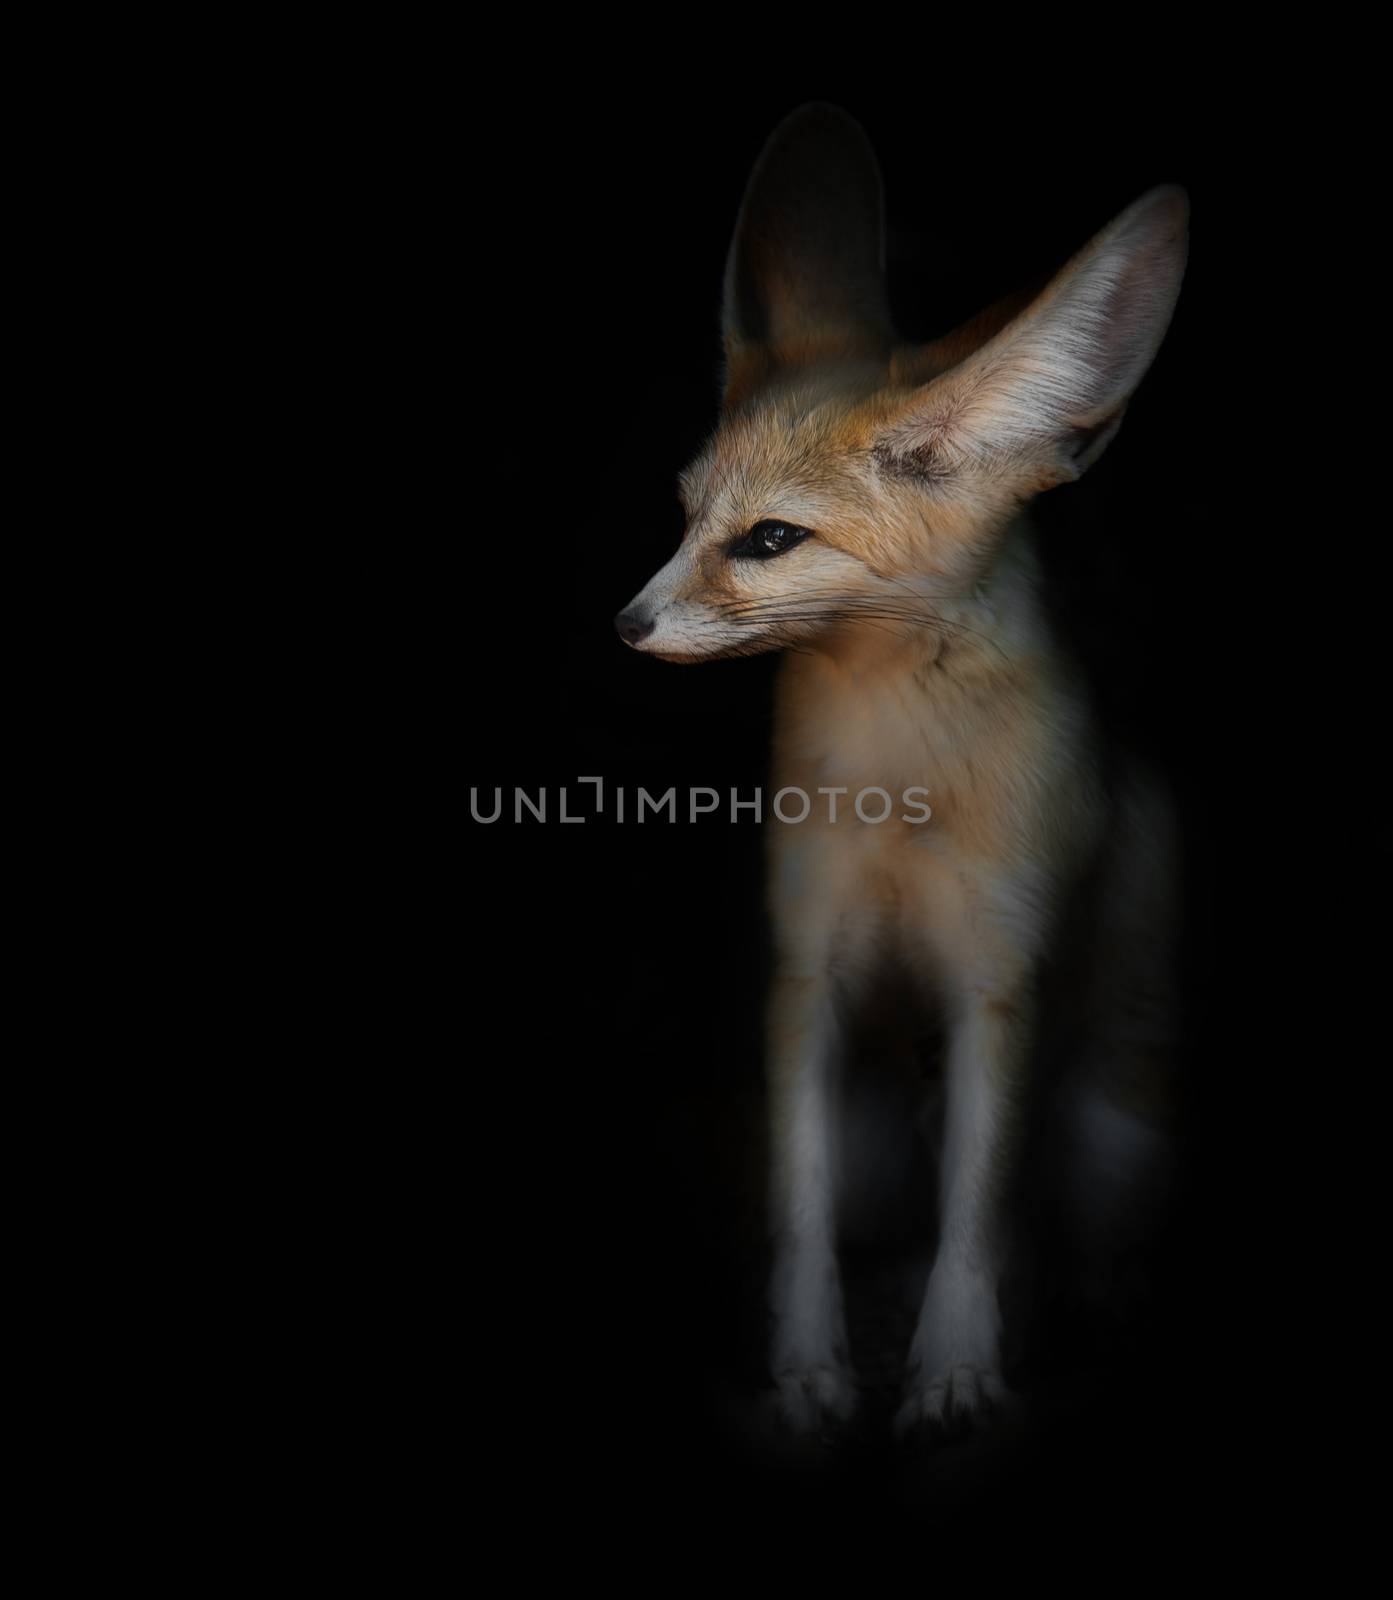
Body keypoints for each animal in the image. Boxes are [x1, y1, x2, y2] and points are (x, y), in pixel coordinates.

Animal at [614, 106, 1183, 1446]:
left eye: (769, 539)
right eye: (684, 511)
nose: (627, 624)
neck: (896, 790)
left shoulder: (999, 980)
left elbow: (975, 1216)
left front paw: (954, 1369)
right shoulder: (804, 972)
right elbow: (800, 1210)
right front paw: (808, 1370)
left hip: (1113, 1121)